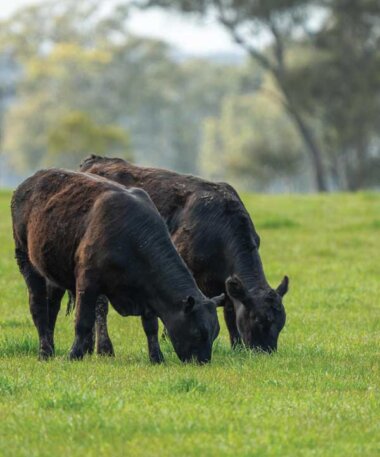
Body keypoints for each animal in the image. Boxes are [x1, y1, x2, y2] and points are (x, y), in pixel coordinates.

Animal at [11, 169, 223, 362]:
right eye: (197, 332)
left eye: (215, 334)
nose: (203, 361)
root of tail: (29, 181)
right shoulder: (87, 281)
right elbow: (83, 320)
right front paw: (74, 355)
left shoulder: (148, 292)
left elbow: (151, 327)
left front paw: (157, 357)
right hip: (25, 259)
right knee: (38, 306)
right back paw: (45, 352)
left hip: (52, 271)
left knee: (52, 307)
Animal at [79, 155, 288, 350]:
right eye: (258, 320)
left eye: (280, 325)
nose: (266, 352)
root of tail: (96, 160)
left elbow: (230, 315)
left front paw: (236, 347)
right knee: (100, 306)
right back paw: (103, 348)